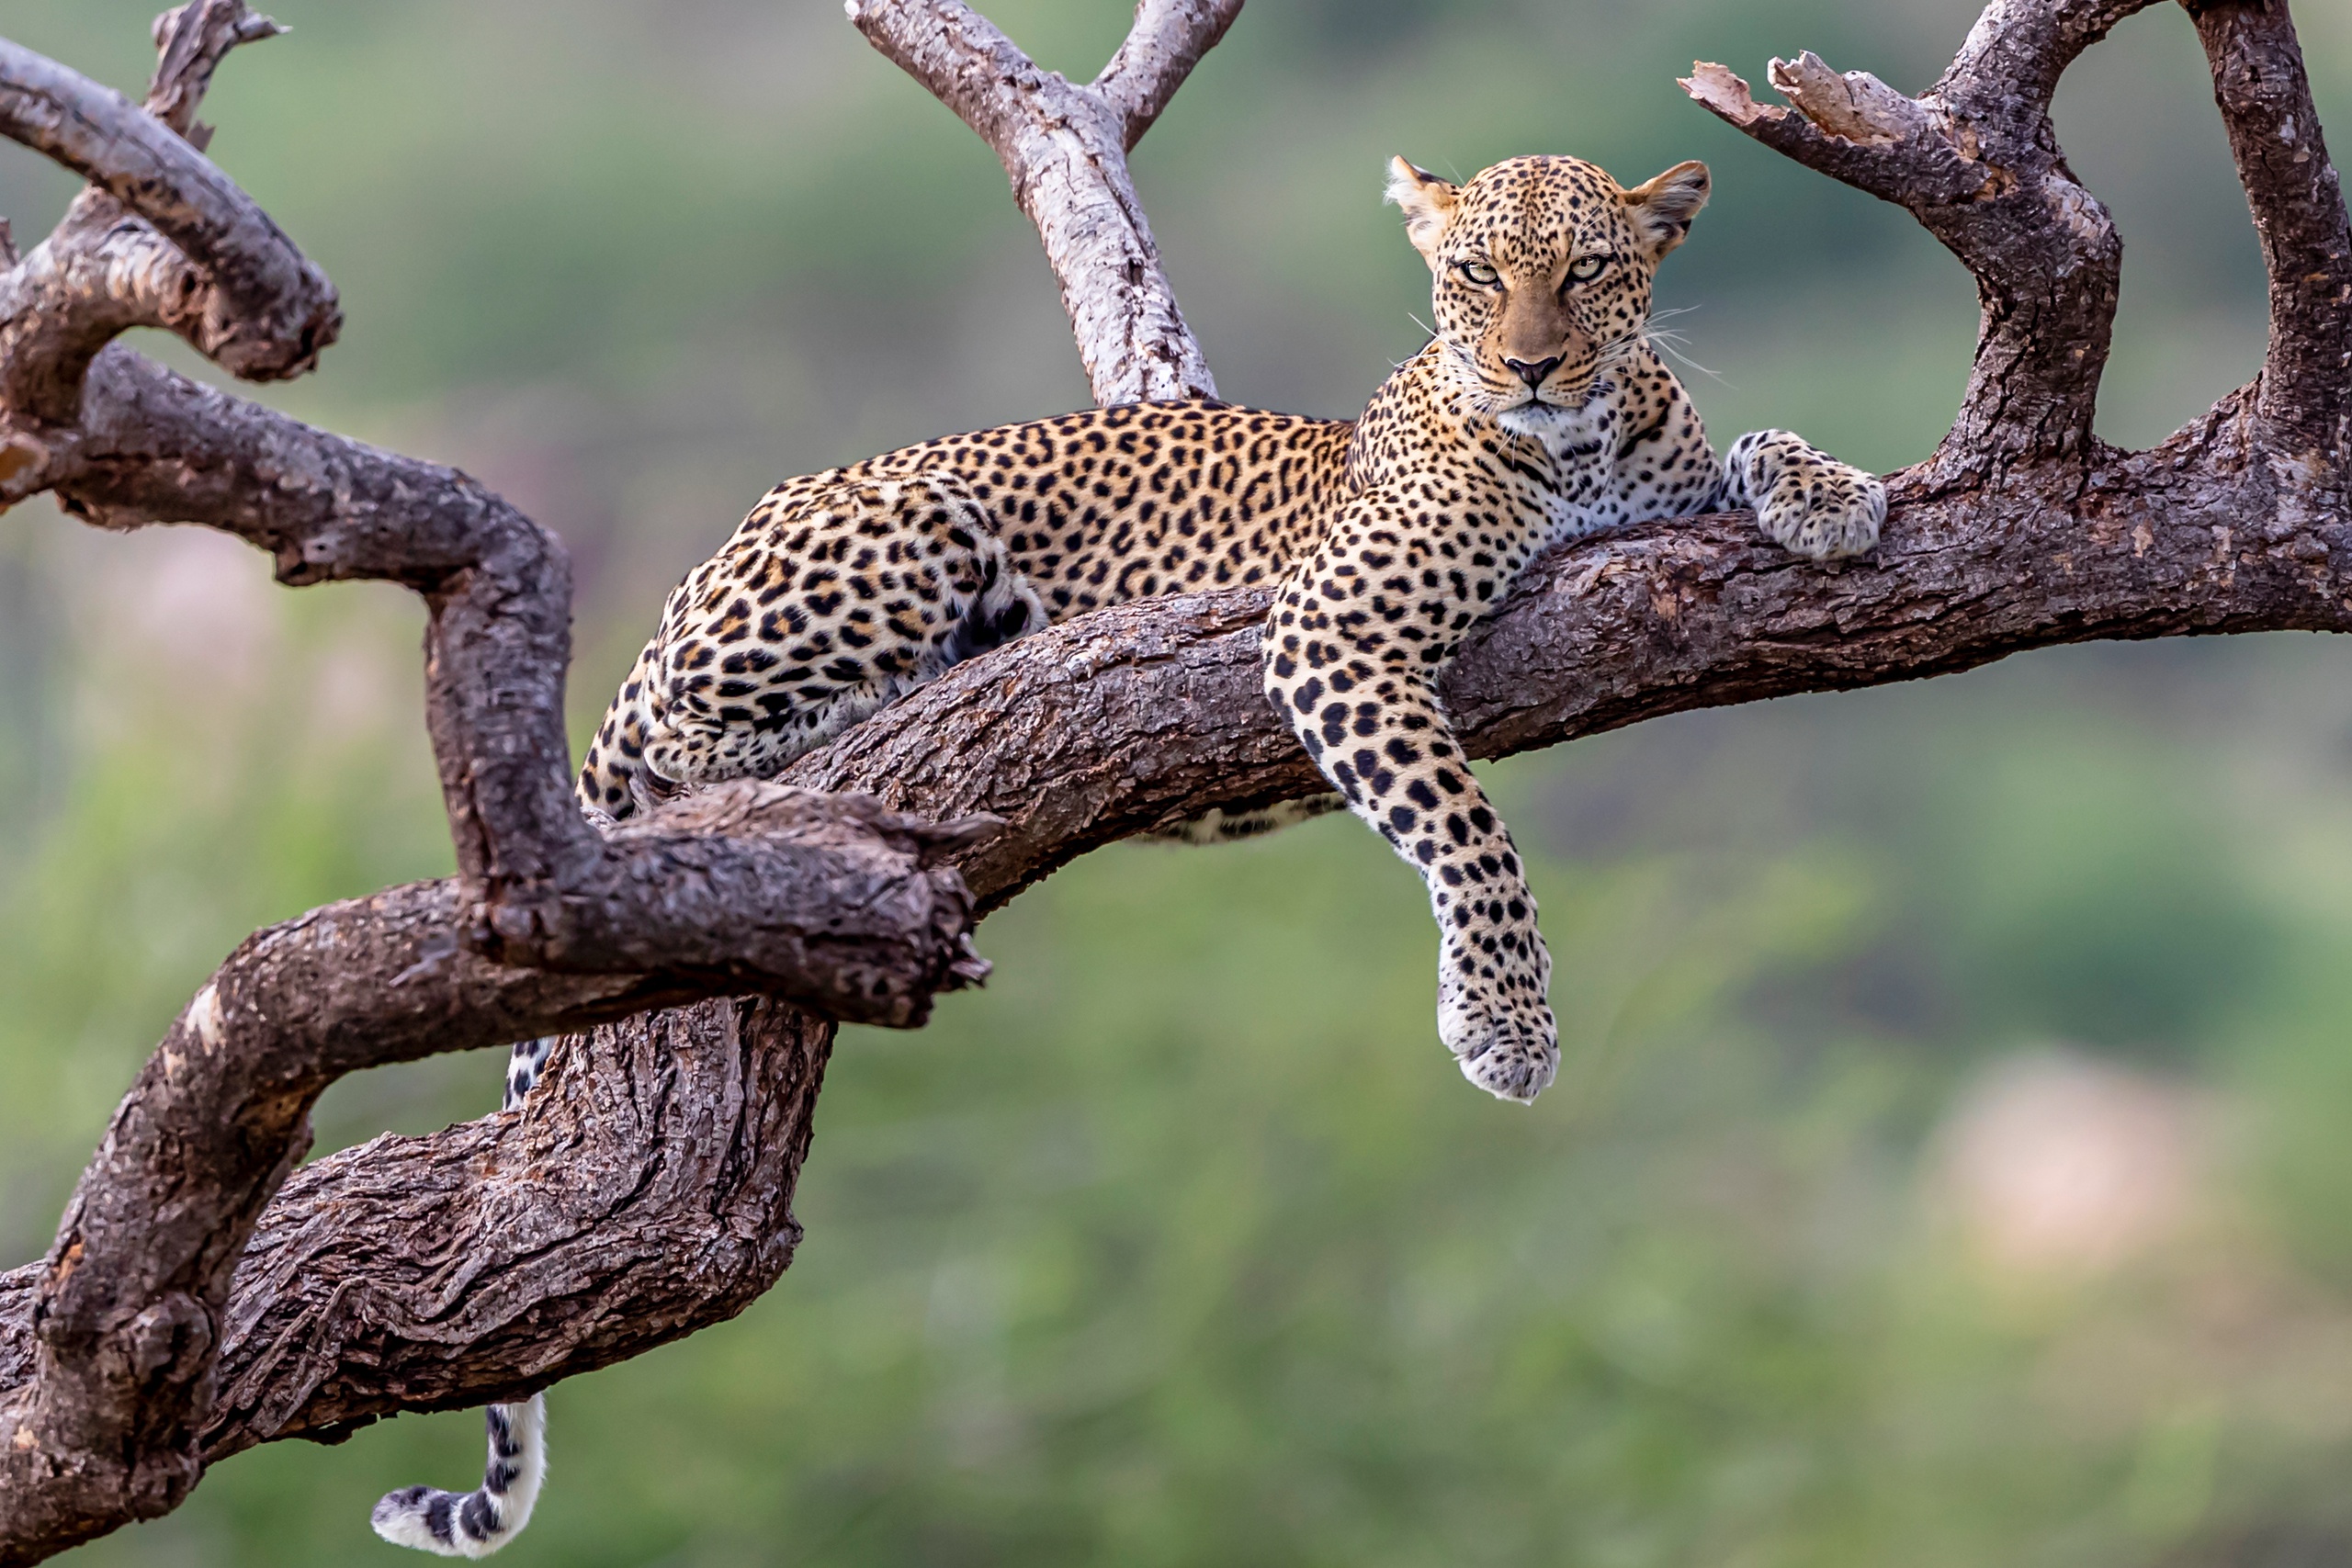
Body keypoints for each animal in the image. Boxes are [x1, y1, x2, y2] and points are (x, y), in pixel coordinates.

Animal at [371, 150, 1871, 1561]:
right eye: (1476, 277)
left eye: (1590, 270)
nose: (1533, 364)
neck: (1575, 451)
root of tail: (713, 551)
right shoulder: (1333, 631)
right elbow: (1467, 827)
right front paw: (1503, 1022)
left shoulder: (1655, 498)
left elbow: (1750, 442)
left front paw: (1831, 493)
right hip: (903, 530)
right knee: (687, 740)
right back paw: (891, 695)